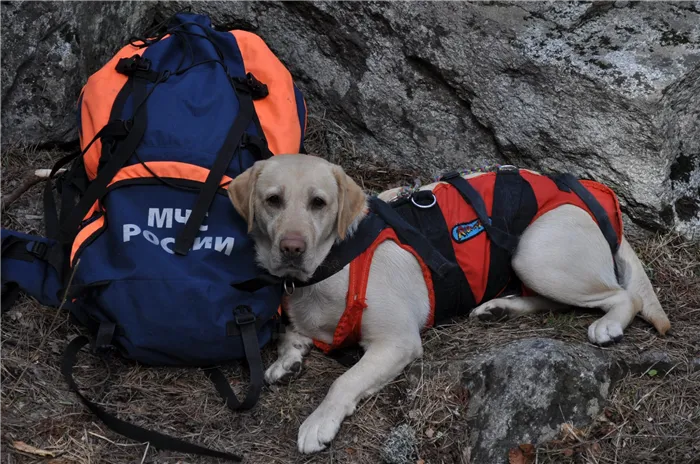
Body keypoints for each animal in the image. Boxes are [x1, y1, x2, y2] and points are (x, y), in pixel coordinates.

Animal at [227, 152, 668, 454]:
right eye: (272, 200)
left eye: (318, 202)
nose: (292, 248)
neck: (332, 264)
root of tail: (595, 201)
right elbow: (291, 334)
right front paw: (287, 360)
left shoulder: (397, 342)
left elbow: (344, 380)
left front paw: (319, 421)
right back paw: (498, 308)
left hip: (536, 255)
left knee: (622, 294)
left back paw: (608, 323)